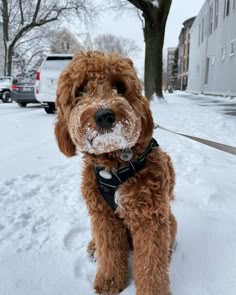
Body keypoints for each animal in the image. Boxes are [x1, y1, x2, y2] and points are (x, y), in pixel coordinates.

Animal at [54, 51, 177, 295]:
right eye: (80, 90)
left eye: (120, 87)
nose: (104, 115)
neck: (115, 168)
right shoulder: (103, 217)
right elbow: (109, 251)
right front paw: (109, 281)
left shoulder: (150, 219)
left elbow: (151, 263)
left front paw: (153, 290)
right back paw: (93, 247)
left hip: (170, 220)